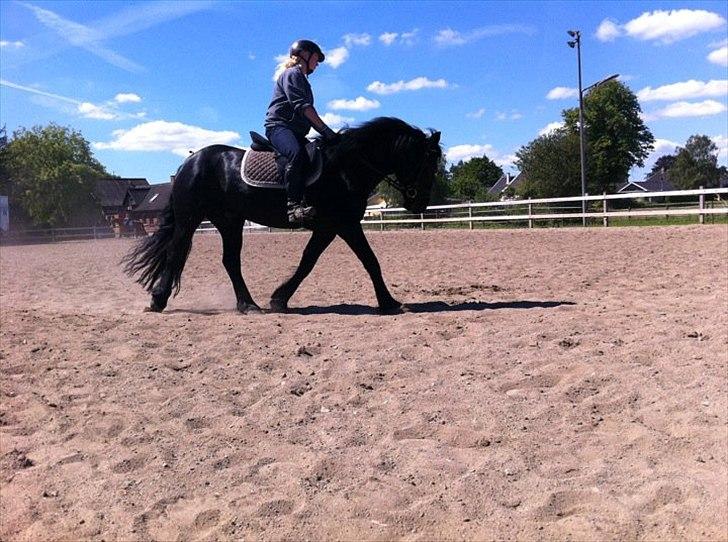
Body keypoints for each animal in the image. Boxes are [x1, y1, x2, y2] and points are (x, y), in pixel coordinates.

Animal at [122, 117, 442, 314]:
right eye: (427, 163)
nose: (420, 204)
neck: (345, 168)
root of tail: (189, 162)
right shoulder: (343, 224)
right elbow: (366, 261)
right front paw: (389, 302)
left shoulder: (331, 227)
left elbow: (310, 261)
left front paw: (279, 298)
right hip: (190, 218)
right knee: (177, 253)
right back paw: (158, 300)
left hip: (229, 221)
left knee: (230, 261)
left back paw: (248, 305)